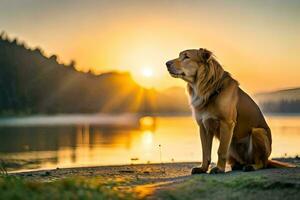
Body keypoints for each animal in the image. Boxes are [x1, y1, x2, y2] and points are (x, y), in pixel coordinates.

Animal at [166, 48, 296, 173]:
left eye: (186, 56)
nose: (166, 63)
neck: (209, 91)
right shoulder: (203, 126)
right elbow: (205, 152)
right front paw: (203, 168)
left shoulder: (226, 123)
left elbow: (221, 151)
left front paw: (219, 169)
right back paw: (237, 165)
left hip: (258, 132)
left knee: (261, 163)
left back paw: (251, 166)